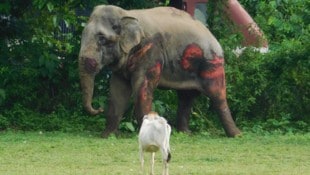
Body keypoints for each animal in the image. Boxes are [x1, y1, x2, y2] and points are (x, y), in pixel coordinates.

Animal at [78, 4, 241, 137]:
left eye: (102, 39)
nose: (99, 108)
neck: (126, 14)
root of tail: (212, 35)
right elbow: (117, 91)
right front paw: (107, 135)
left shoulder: (151, 50)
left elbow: (142, 88)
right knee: (186, 97)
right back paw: (185, 133)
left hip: (212, 63)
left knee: (217, 96)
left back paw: (236, 135)